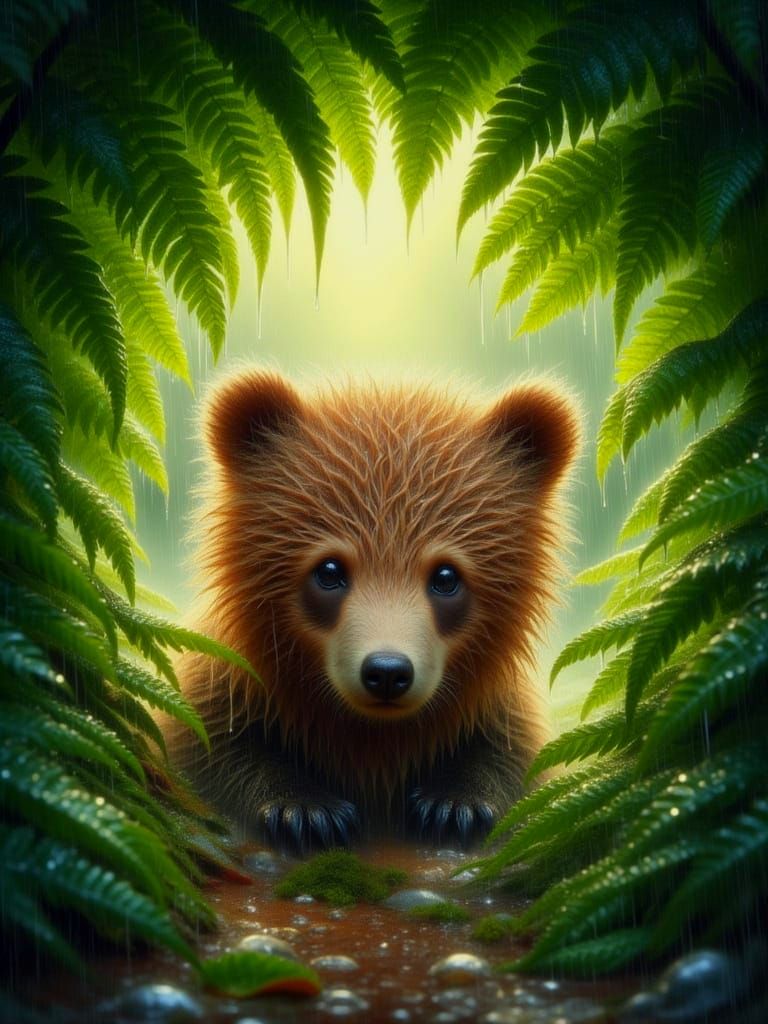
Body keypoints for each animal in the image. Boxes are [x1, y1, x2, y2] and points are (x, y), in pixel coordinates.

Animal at [165, 370, 580, 854]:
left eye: (446, 576)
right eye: (329, 570)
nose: (386, 671)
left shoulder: (499, 711)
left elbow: (511, 759)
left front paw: (454, 804)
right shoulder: (226, 687)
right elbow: (215, 750)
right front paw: (305, 810)